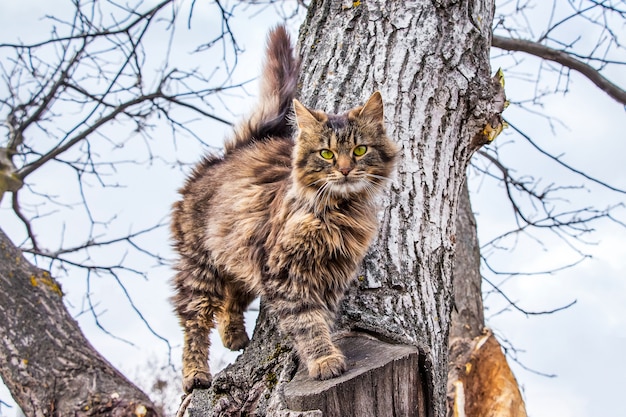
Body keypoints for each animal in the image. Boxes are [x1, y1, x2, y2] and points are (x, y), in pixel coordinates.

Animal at [169, 26, 394, 394]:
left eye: (360, 150)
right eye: (327, 154)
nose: (346, 170)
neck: (337, 211)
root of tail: (227, 156)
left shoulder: (332, 272)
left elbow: (321, 317)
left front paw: (324, 350)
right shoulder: (286, 273)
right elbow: (306, 321)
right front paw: (323, 360)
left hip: (239, 251)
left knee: (232, 298)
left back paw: (234, 336)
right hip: (199, 267)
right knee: (195, 322)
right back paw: (195, 374)